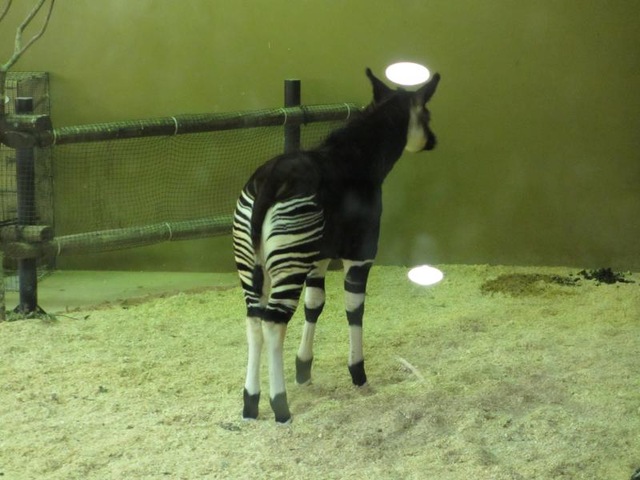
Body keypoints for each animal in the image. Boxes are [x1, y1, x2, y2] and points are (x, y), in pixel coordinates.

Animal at [232, 68, 441, 423]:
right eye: (426, 114)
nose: (433, 141)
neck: (361, 158)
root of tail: (269, 183)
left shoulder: (317, 256)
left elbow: (314, 304)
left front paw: (303, 369)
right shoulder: (361, 253)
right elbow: (354, 309)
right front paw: (358, 372)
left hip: (254, 263)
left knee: (254, 318)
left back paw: (250, 403)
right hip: (288, 261)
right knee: (273, 322)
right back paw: (280, 405)